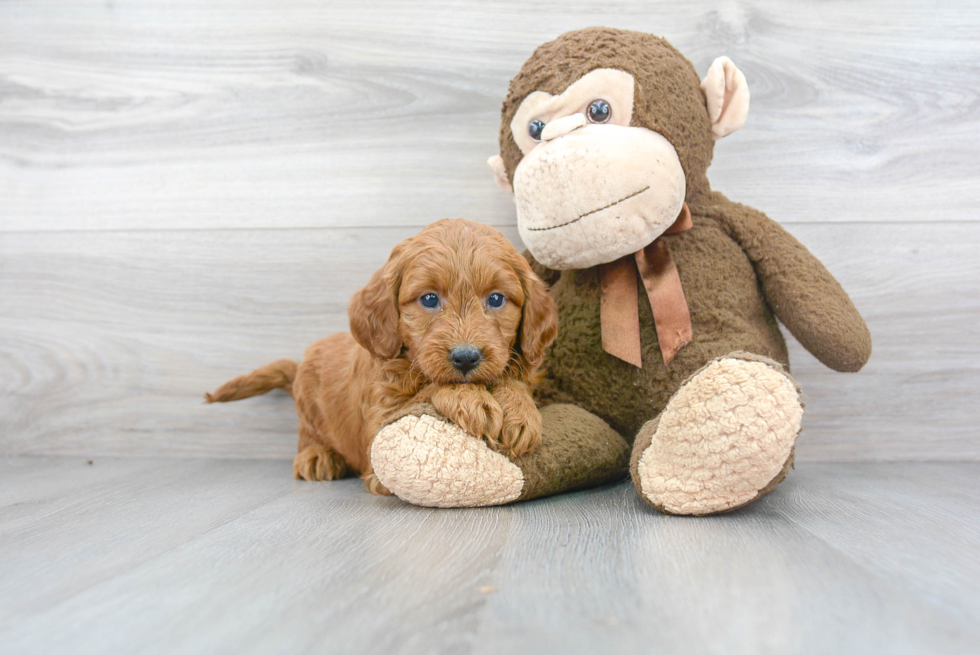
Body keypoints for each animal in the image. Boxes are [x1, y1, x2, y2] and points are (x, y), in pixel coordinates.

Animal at [205, 218, 560, 494]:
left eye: (496, 299)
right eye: (429, 299)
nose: (465, 357)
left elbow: (512, 381)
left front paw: (519, 411)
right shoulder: (380, 423)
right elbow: (430, 386)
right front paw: (471, 399)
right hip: (309, 410)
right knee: (307, 436)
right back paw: (317, 456)